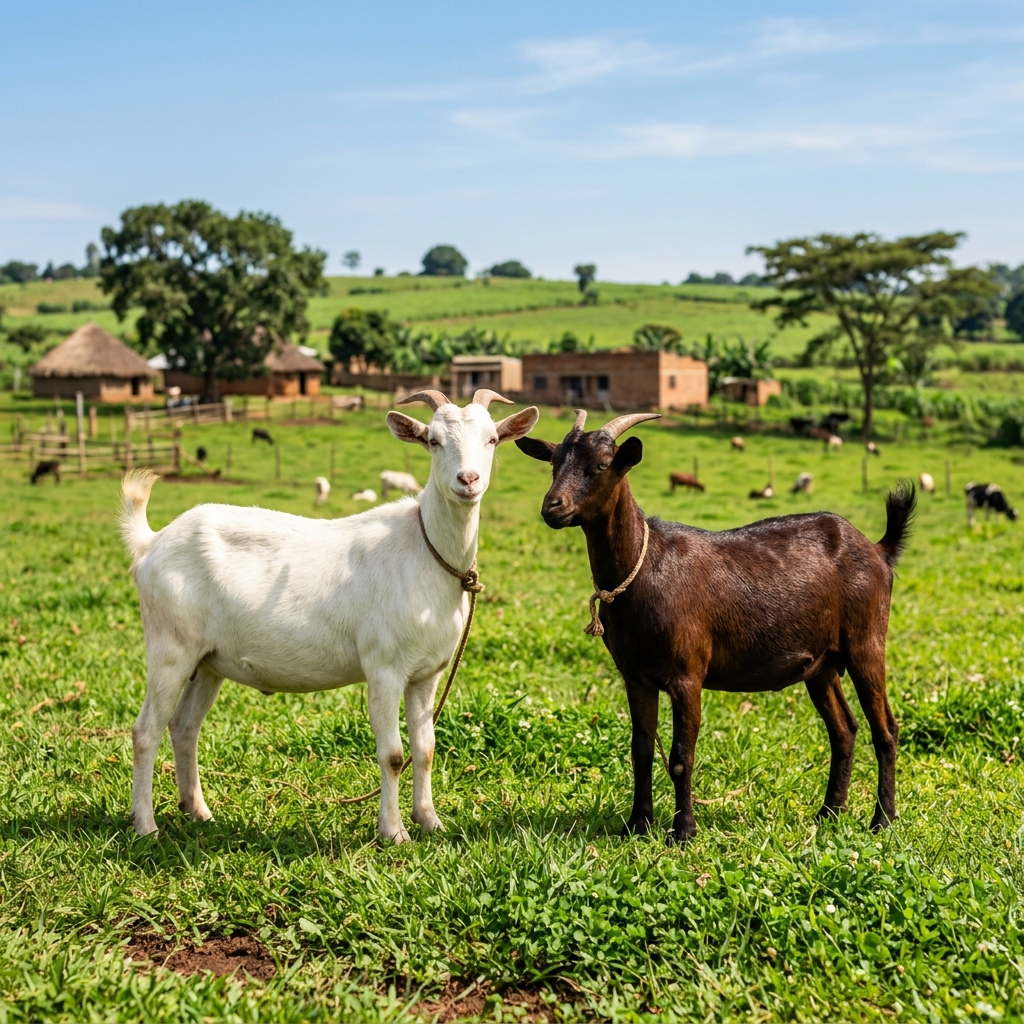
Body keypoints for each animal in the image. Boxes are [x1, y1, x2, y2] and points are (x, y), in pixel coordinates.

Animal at [119, 389, 539, 841]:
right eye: (433, 440)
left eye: (492, 439)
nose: (468, 481)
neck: (426, 550)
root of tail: (152, 542)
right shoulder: (384, 667)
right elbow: (393, 754)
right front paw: (393, 832)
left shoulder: (426, 675)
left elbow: (424, 749)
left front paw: (429, 820)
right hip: (171, 646)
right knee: (146, 731)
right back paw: (146, 825)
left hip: (209, 660)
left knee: (184, 727)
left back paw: (198, 811)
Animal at [516, 410, 915, 842]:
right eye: (554, 462)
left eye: (603, 465)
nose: (552, 507)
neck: (645, 568)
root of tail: (878, 549)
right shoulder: (635, 676)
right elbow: (641, 751)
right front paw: (637, 825)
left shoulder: (687, 673)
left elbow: (680, 757)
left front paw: (683, 831)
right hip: (821, 664)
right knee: (844, 729)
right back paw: (829, 812)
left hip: (866, 641)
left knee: (885, 729)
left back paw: (883, 820)